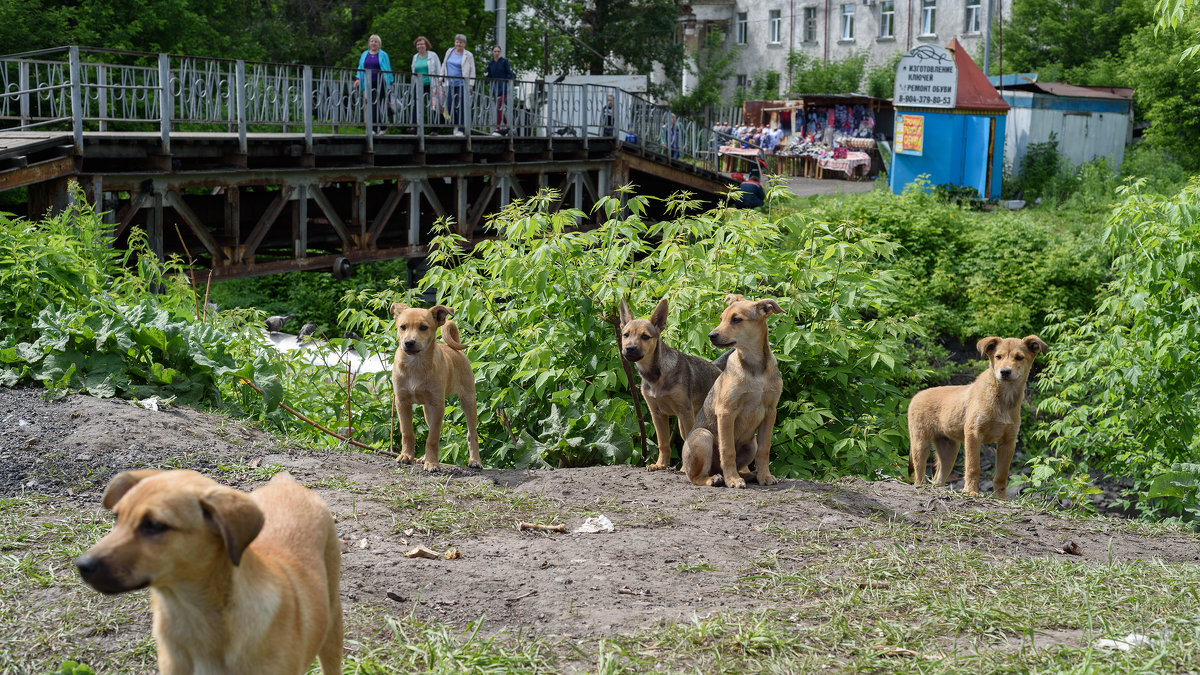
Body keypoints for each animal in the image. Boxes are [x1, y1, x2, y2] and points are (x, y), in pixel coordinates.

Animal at [384, 299, 477, 468]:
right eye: (403, 327)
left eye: (423, 327)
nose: (409, 342)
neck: (416, 364)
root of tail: (456, 350)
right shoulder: (402, 402)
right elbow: (407, 433)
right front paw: (406, 456)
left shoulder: (437, 405)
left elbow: (432, 438)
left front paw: (432, 463)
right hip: (427, 410)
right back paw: (423, 458)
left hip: (468, 401)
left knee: (472, 434)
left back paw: (475, 461)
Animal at [619, 296, 720, 470]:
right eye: (626, 335)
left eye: (645, 336)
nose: (629, 349)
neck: (656, 376)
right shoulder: (657, 414)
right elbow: (663, 443)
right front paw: (661, 464)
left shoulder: (684, 411)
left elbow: (688, 442)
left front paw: (684, 469)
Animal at [686, 291, 787, 485]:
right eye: (721, 318)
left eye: (736, 319)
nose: (711, 335)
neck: (755, 368)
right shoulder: (726, 411)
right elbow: (728, 450)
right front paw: (732, 480)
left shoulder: (770, 411)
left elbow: (764, 449)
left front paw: (765, 476)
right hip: (703, 436)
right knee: (695, 477)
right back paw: (715, 479)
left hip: (750, 444)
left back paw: (749, 475)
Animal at [907, 333, 1051, 497]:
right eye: (998, 357)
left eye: (1019, 357)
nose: (1005, 372)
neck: (1002, 398)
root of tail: (916, 396)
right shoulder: (973, 433)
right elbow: (973, 467)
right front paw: (971, 492)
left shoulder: (1008, 441)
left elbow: (1001, 474)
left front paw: (1001, 497)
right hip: (920, 443)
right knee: (919, 472)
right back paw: (920, 486)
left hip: (949, 449)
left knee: (938, 476)